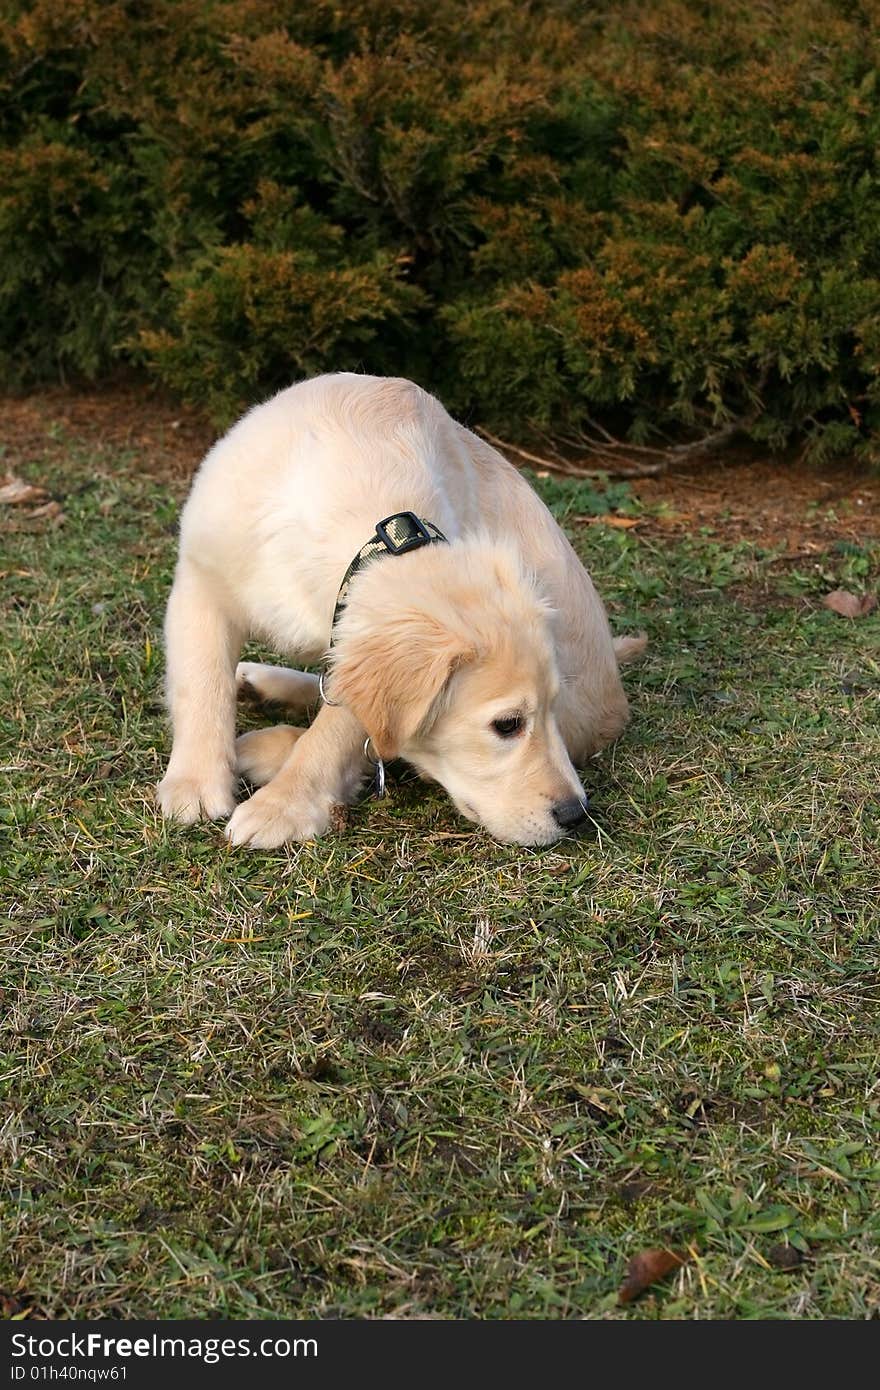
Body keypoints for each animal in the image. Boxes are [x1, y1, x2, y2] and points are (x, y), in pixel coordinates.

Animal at [154, 372, 642, 845]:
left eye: (550, 708)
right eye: (507, 725)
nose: (575, 813)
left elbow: (336, 730)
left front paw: (283, 805)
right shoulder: (202, 576)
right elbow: (201, 684)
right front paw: (194, 783)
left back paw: (265, 744)